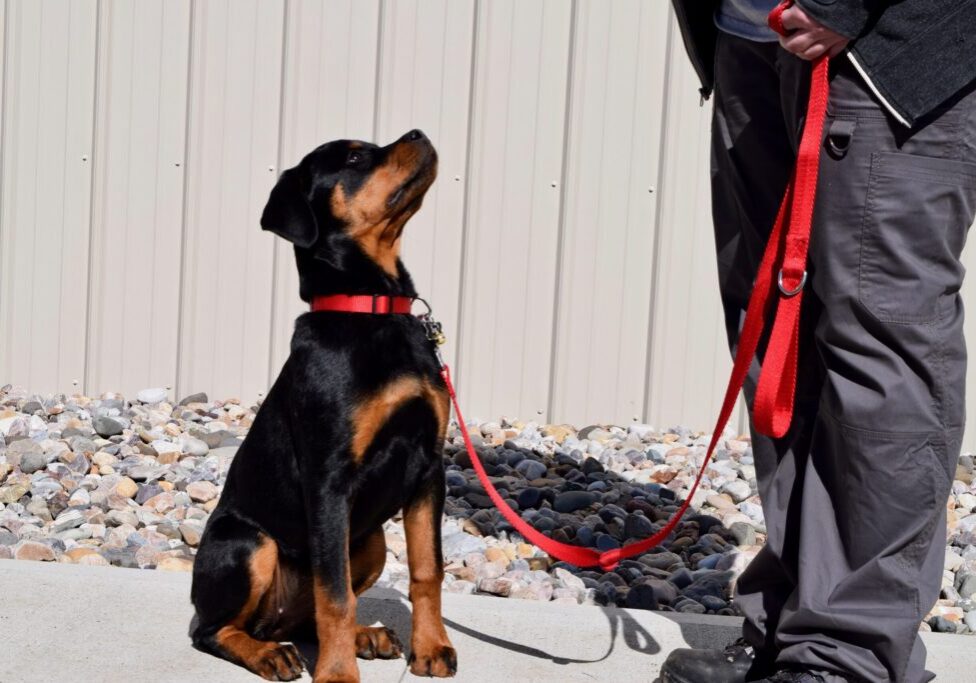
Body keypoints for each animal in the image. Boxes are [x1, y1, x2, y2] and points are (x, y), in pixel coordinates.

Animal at [191, 130, 458, 683]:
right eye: (355, 157)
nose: (420, 134)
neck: (372, 310)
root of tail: (273, 623)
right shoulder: (329, 478)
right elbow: (334, 593)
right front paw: (336, 674)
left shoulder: (429, 467)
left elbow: (427, 569)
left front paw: (431, 648)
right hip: (247, 542)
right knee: (212, 629)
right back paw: (268, 653)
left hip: (370, 539)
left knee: (308, 617)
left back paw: (364, 637)